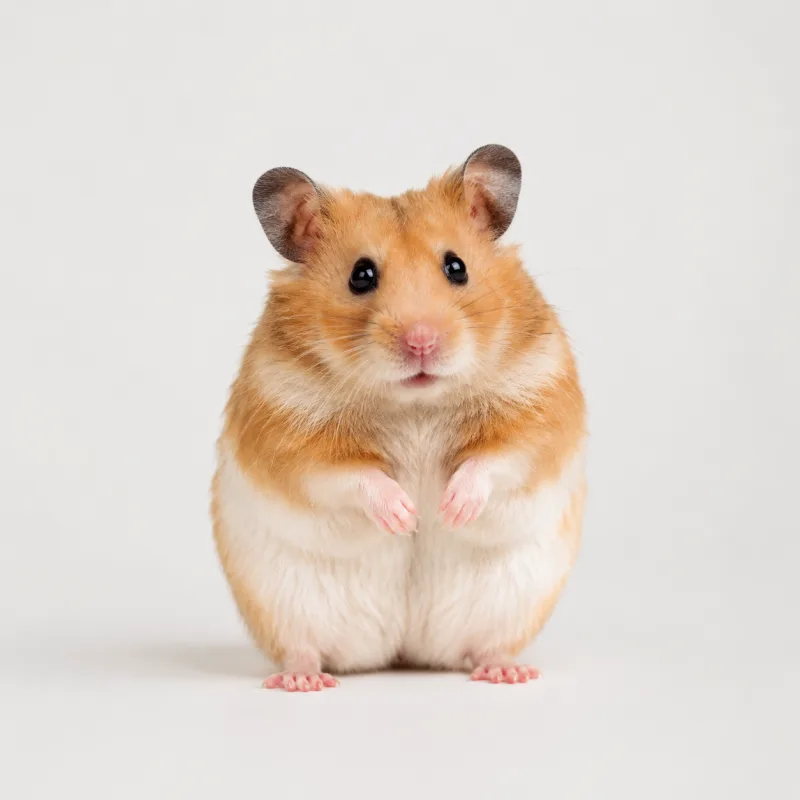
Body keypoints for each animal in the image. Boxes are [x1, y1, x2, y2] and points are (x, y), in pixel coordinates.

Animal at [211, 145, 586, 691]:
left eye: (457, 267)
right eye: (361, 275)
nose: (421, 341)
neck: (415, 404)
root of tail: (403, 651)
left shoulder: (538, 415)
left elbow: (495, 461)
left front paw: (449, 509)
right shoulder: (289, 438)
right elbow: (352, 476)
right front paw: (406, 515)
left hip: (511, 604)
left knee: (486, 646)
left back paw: (508, 672)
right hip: (284, 607)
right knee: (303, 649)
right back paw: (304, 681)